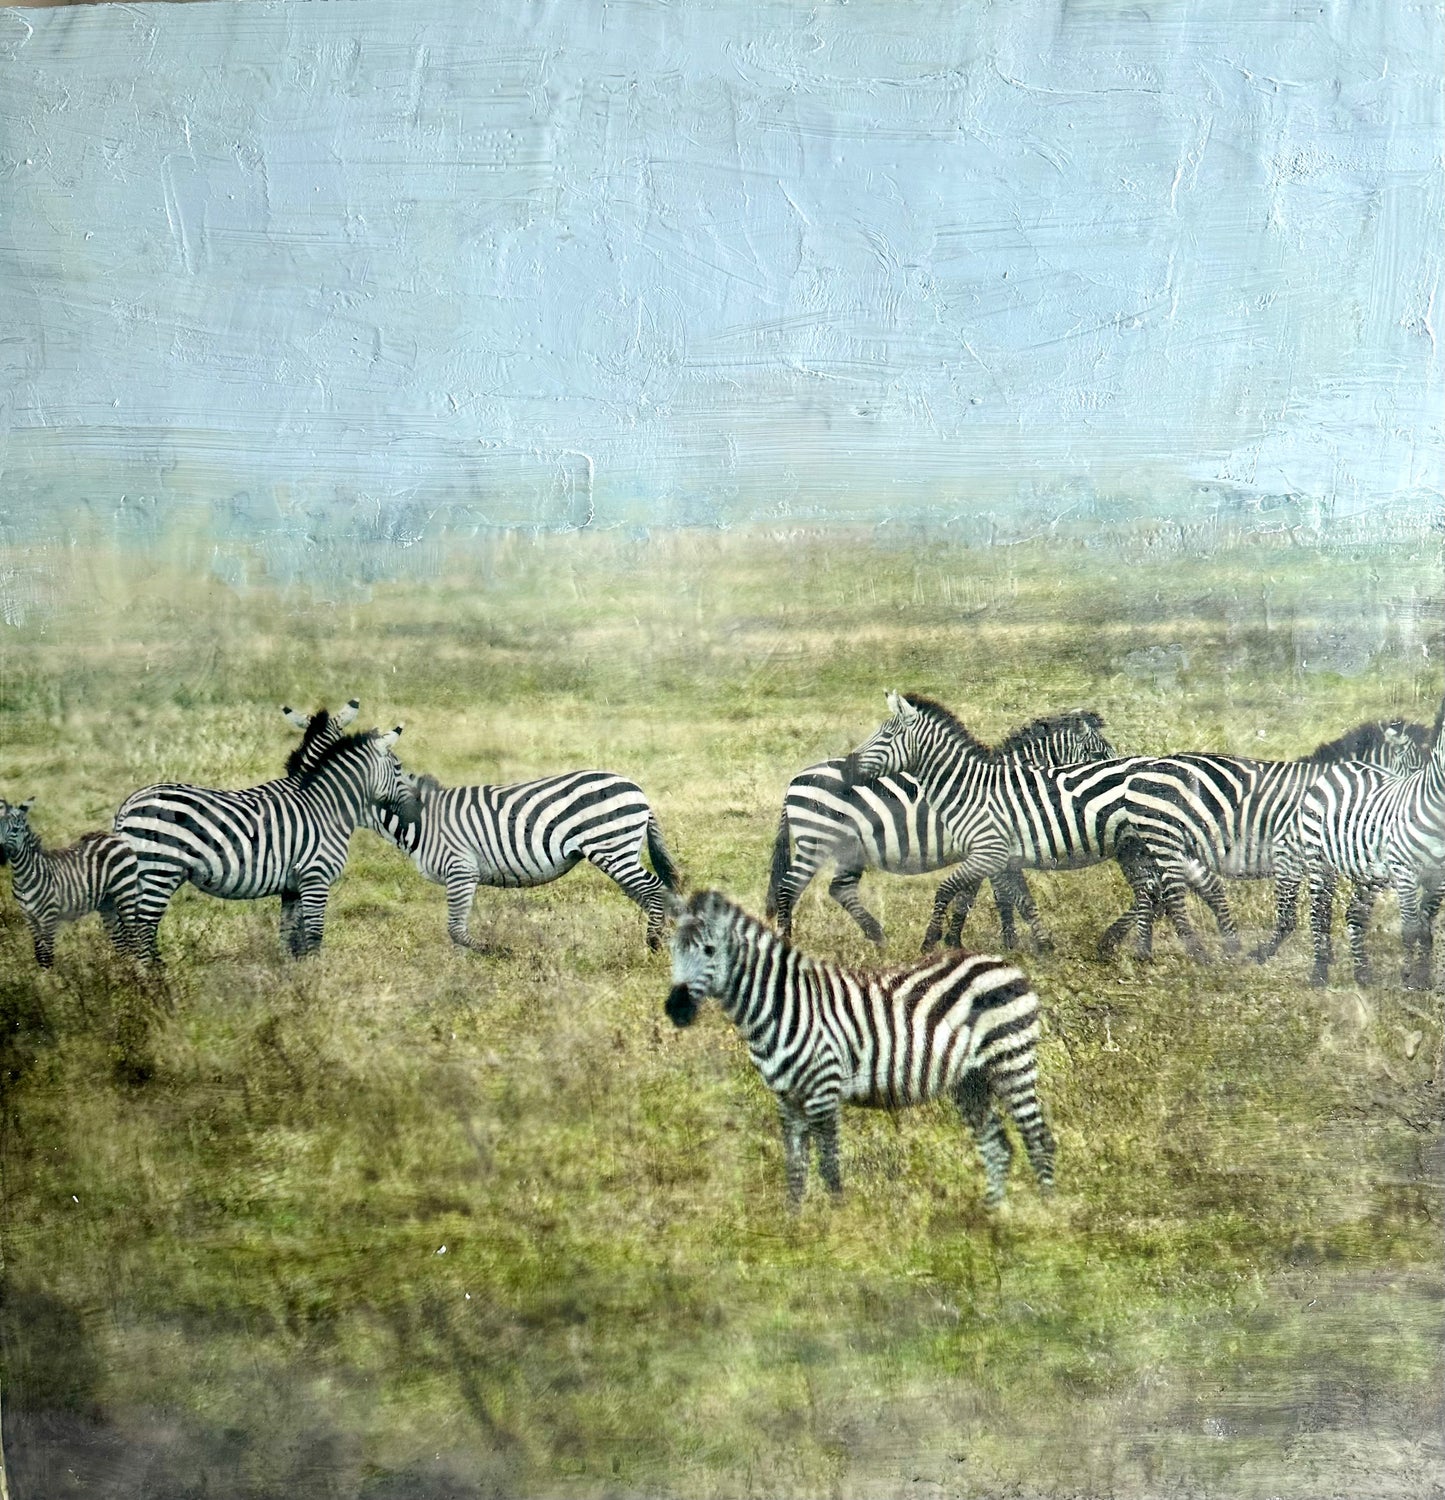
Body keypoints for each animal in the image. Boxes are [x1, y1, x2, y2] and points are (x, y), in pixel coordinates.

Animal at [0, 798, 143, 967]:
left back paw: (140, 969)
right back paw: (123, 968)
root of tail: (112, 835)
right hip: (107, 901)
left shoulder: (48, 917)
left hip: (124, 891)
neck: (24, 876)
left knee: (134, 933)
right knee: (120, 937)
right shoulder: (29, 918)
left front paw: (50, 975)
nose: (0, 853)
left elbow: (47, 955)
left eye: (16, 829)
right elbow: (39, 954)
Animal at [113, 713, 419, 960]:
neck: (326, 807)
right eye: (399, 768)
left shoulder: (293, 885)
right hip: (159, 871)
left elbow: (289, 935)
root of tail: (129, 804)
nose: (415, 806)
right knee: (142, 933)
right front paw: (318, 979)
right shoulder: (315, 878)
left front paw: (294, 979)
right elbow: (314, 936)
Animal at [372, 768, 683, 951]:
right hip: (620, 851)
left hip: (613, 846)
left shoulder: (459, 867)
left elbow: (456, 925)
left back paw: (654, 942)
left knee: (654, 888)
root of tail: (636, 789)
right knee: (649, 892)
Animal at [666, 889, 1055, 1209]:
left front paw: (837, 1226)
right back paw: (993, 1216)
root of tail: (1004, 963)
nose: (676, 1009)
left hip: (1011, 1060)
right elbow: (795, 1167)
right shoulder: (787, 1097)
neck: (780, 1005)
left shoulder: (823, 1089)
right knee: (998, 1145)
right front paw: (795, 1228)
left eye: (709, 951)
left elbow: (828, 1163)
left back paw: (1044, 1216)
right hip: (971, 1079)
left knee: (1038, 1138)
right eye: (672, 950)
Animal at [765, 710, 1123, 950]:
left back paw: (878, 936)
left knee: (840, 889)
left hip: (849, 848)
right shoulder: (990, 849)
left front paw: (957, 939)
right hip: (816, 841)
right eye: (1097, 754)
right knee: (788, 888)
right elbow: (1003, 896)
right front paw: (1005, 941)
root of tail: (795, 780)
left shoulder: (985, 850)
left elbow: (972, 895)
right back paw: (787, 941)